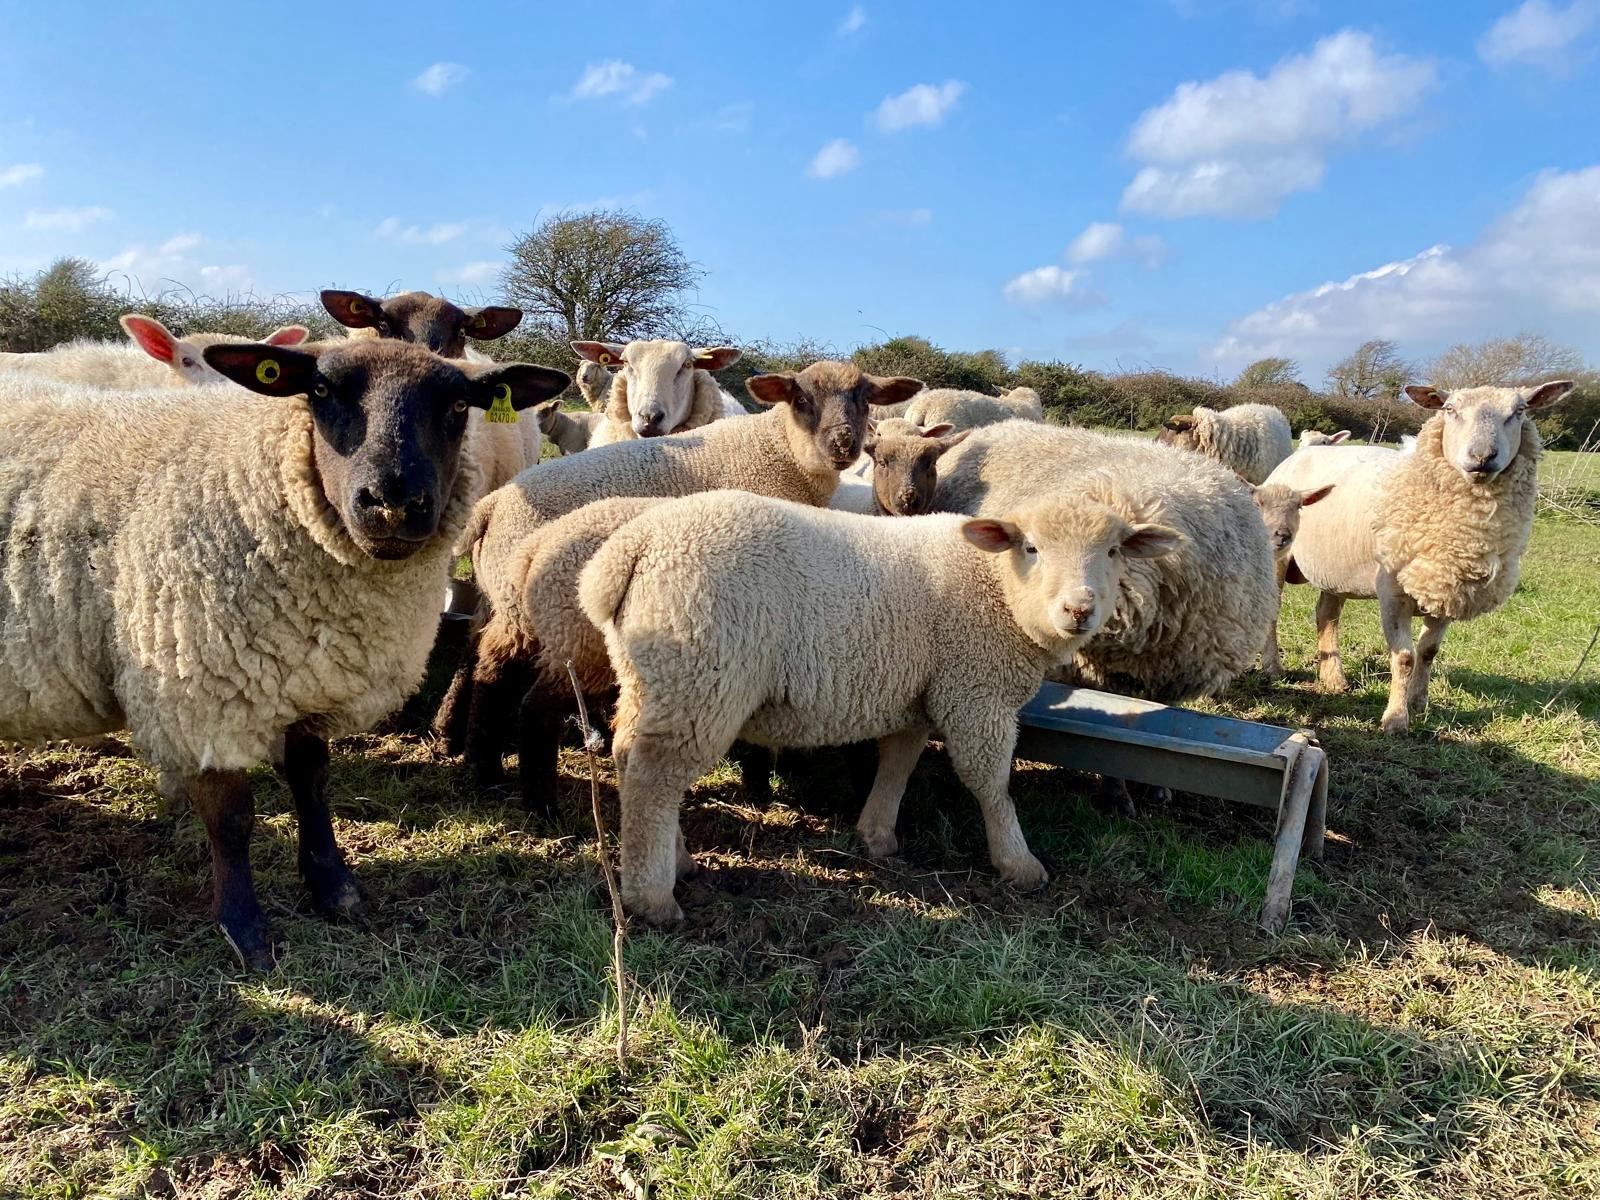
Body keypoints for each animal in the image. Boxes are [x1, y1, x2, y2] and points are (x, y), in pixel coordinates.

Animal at [0, 338, 568, 967]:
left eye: (460, 405)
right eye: (319, 390)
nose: (393, 503)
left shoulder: (311, 677)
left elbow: (311, 780)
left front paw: (333, 886)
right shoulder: (198, 692)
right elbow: (231, 818)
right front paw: (245, 928)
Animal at [451, 361, 924, 785]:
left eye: (864, 398)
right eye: (802, 399)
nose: (843, 445)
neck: (779, 451)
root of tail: (492, 505)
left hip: (511, 606)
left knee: (488, 662)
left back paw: (479, 764)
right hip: (537, 611)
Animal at [577, 489, 1182, 924]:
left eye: (1113, 551)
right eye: (1030, 547)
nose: (1079, 609)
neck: (998, 590)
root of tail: (633, 548)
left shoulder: (916, 694)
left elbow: (899, 763)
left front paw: (878, 836)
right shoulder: (974, 690)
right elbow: (990, 783)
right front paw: (1019, 863)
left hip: (653, 677)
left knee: (631, 759)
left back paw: (672, 861)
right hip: (701, 676)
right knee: (655, 777)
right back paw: (652, 899)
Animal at [1262, 380, 1573, 734]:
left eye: (1519, 411)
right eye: (1450, 409)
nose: (1482, 457)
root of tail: (1302, 452)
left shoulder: (1449, 588)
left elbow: (1428, 651)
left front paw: (1418, 702)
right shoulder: (1392, 592)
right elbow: (1404, 657)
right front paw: (1396, 720)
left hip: (1335, 569)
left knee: (1326, 616)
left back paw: (1334, 679)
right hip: (1278, 557)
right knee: (1273, 610)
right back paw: (1273, 667)